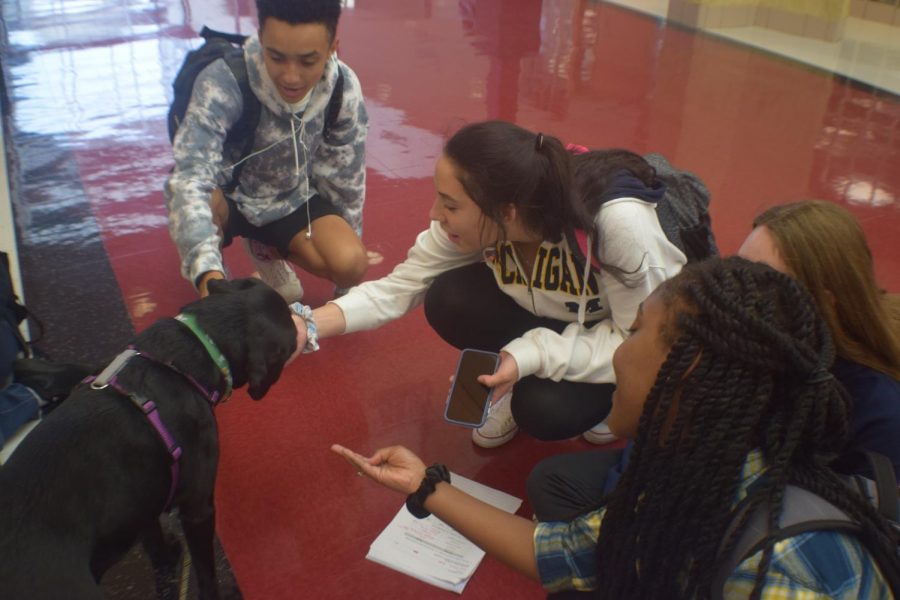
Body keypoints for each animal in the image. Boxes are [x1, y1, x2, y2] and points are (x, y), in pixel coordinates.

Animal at [0, 278, 298, 596]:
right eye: (292, 341)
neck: (199, 346)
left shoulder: (142, 498)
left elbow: (153, 537)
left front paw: (167, 556)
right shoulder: (198, 509)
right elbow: (206, 572)